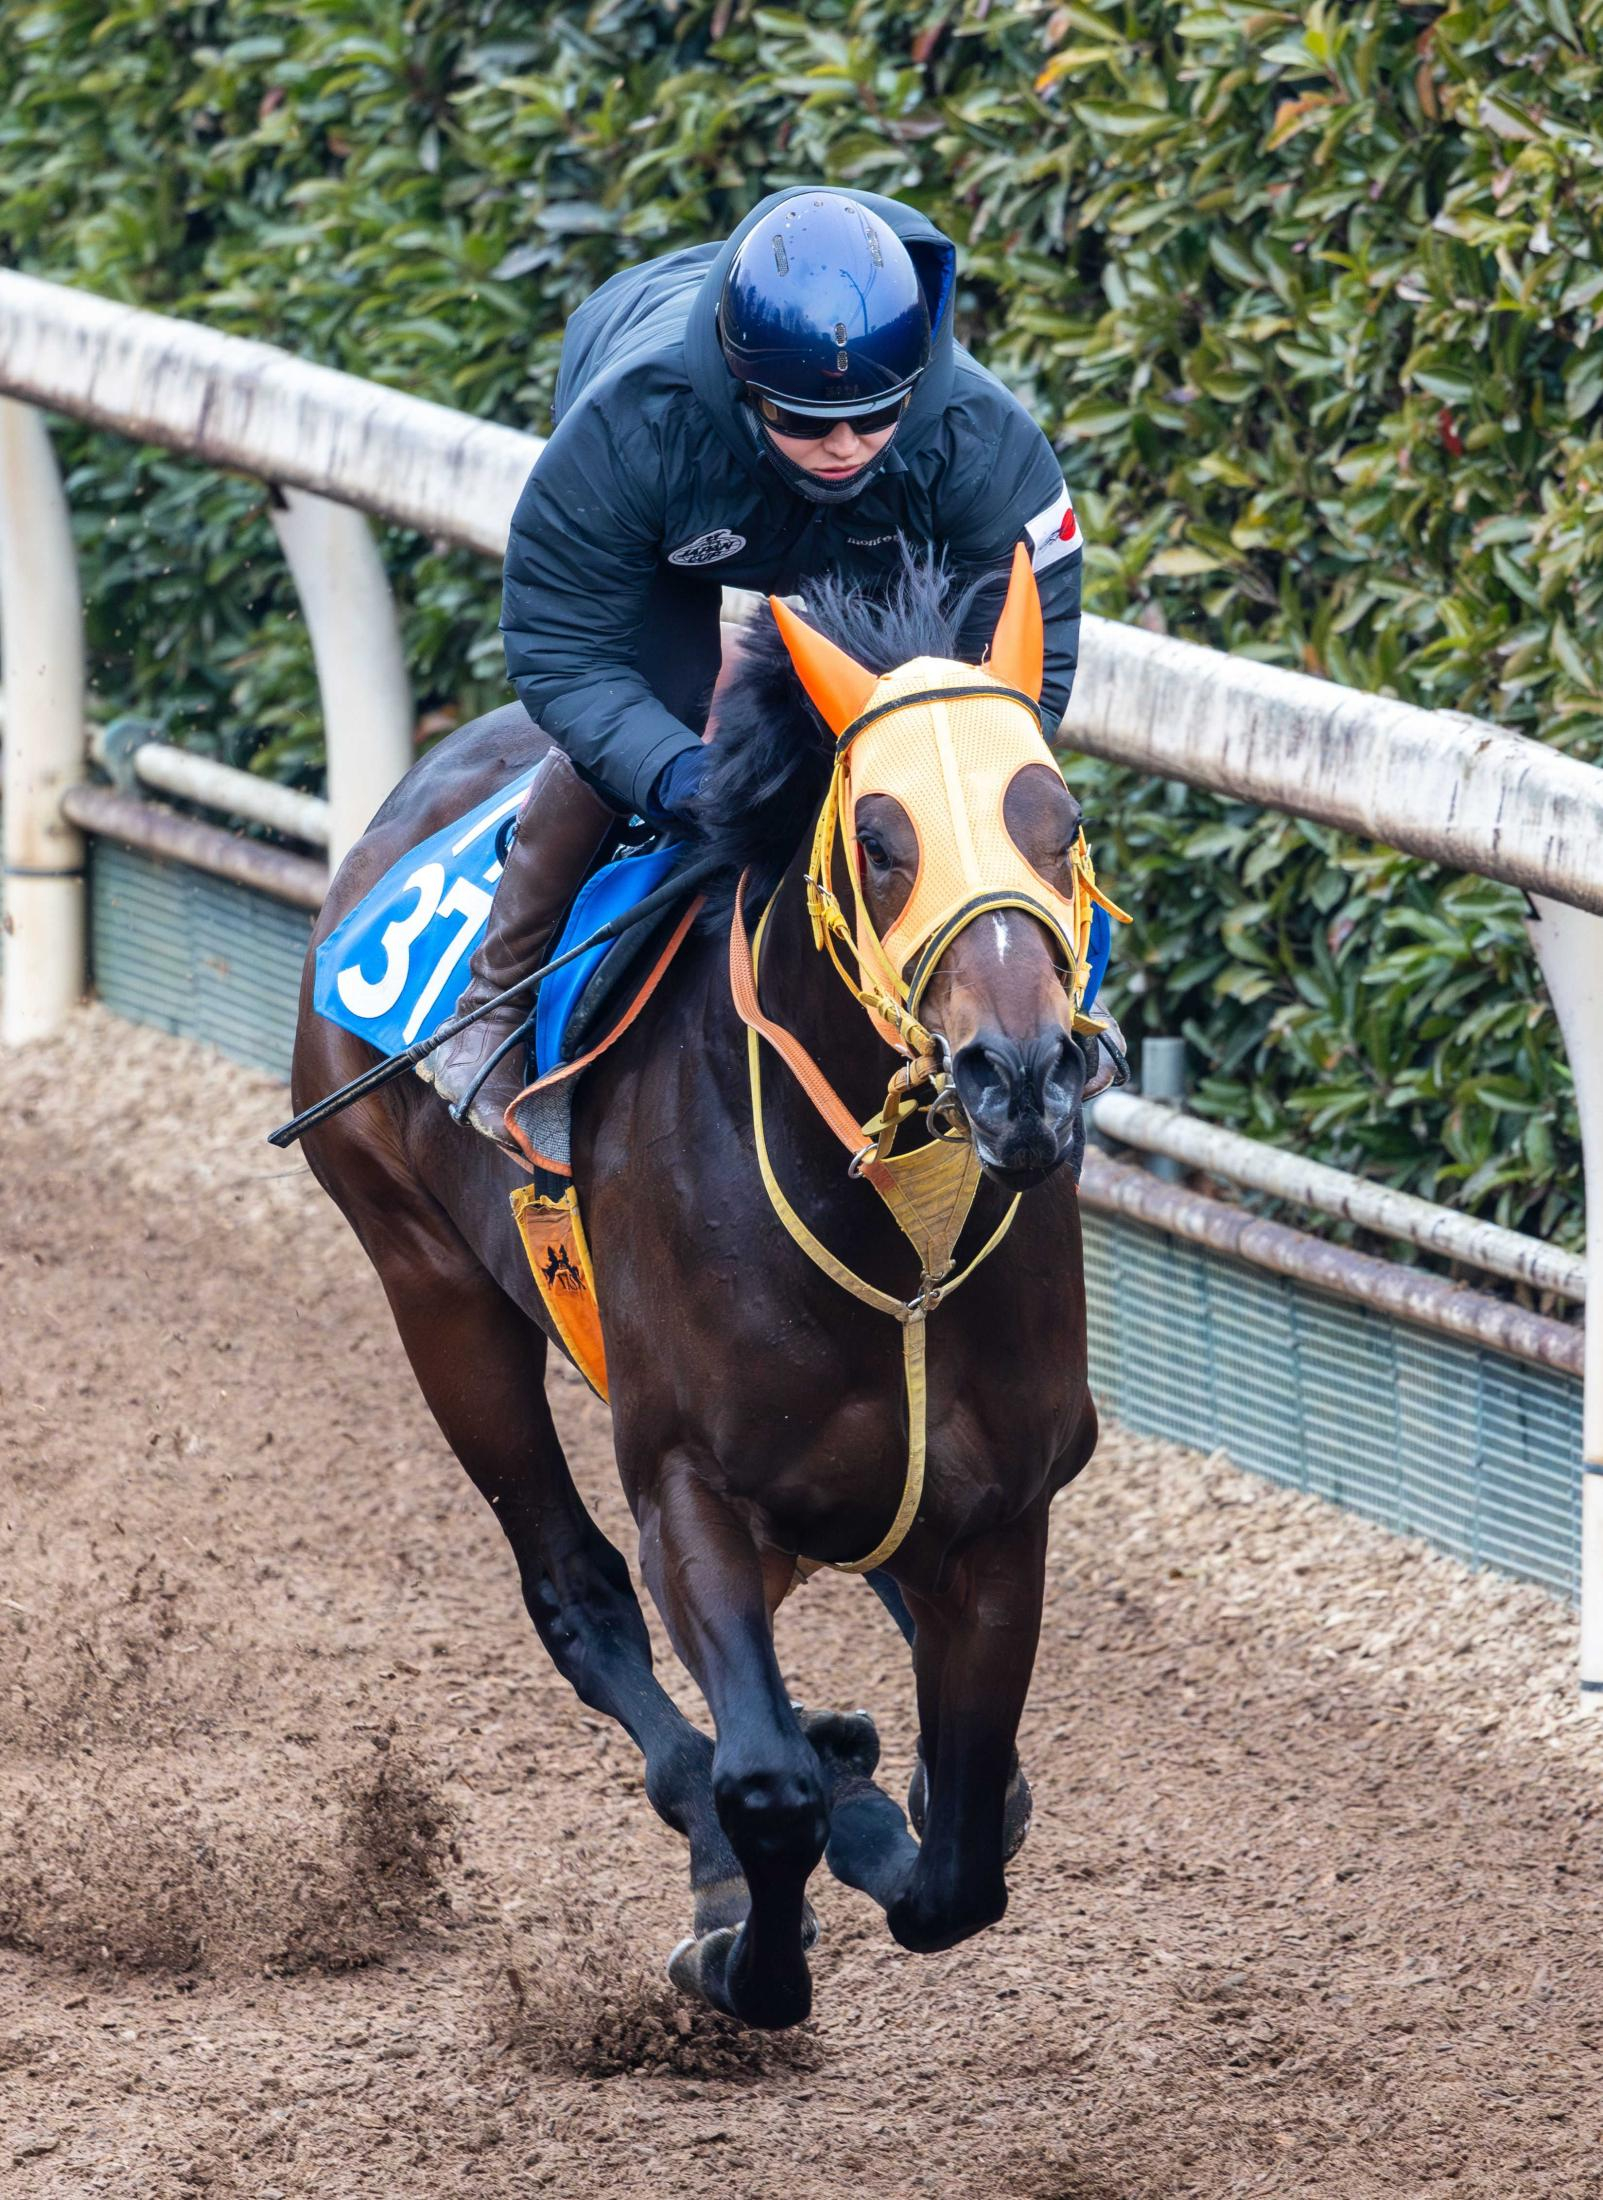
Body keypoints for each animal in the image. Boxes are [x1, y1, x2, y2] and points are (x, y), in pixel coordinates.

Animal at [294, 545, 1099, 2024]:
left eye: (1055, 822)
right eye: (880, 841)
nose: (1017, 1076)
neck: (895, 1245)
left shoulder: (1002, 1510)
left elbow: (966, 1854)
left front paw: (885, 1806)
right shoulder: (689, 1484)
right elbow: (768, 1784)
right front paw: (744, 1947)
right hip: (432, 1286)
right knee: (579, 1593)